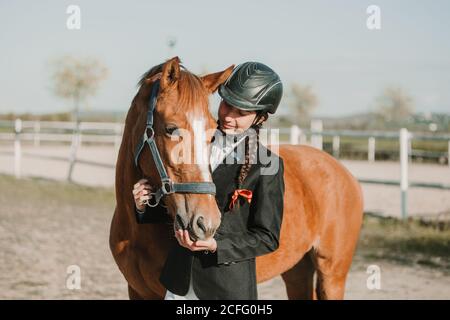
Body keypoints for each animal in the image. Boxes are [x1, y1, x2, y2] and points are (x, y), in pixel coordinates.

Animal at [110, 57, 366, 300]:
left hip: (332, 274)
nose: (206, 223)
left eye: (212, 130)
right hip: (296, 270)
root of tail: (342, 171)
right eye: (171, 128)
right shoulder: (137, 291)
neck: (137, 231)